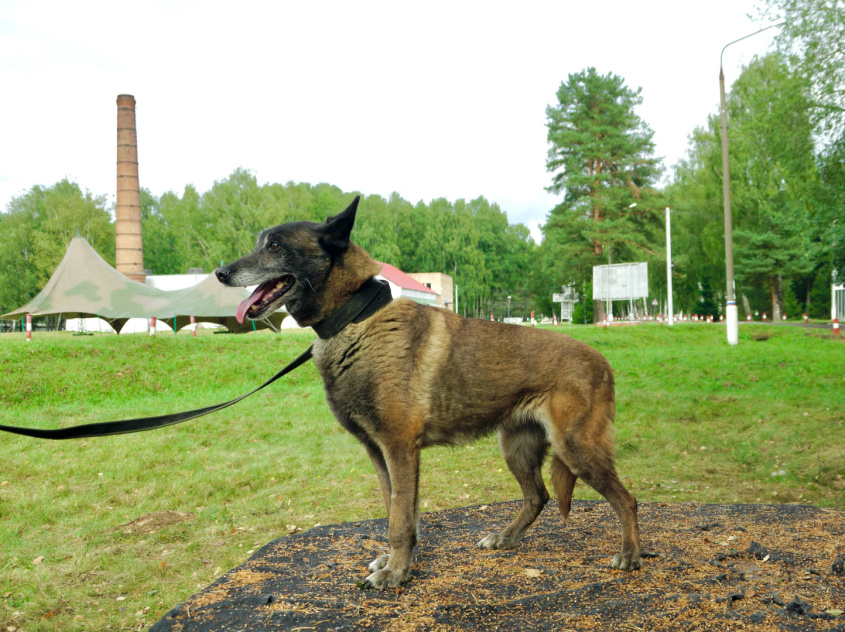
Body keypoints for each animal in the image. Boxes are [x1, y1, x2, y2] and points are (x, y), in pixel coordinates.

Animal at [216, 196, 640, 588]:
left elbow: (401, 518)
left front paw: (395, 573)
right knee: (538, 496)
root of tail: (602, 361)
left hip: (575, 448)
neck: (355, 319)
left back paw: (630, 554)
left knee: (626, 499)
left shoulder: (400, 448)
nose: (220, 273)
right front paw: (394, 562)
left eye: (274, 246)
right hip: (517, 448)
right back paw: (506, 537)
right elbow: (394, 509)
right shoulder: (379, 453)